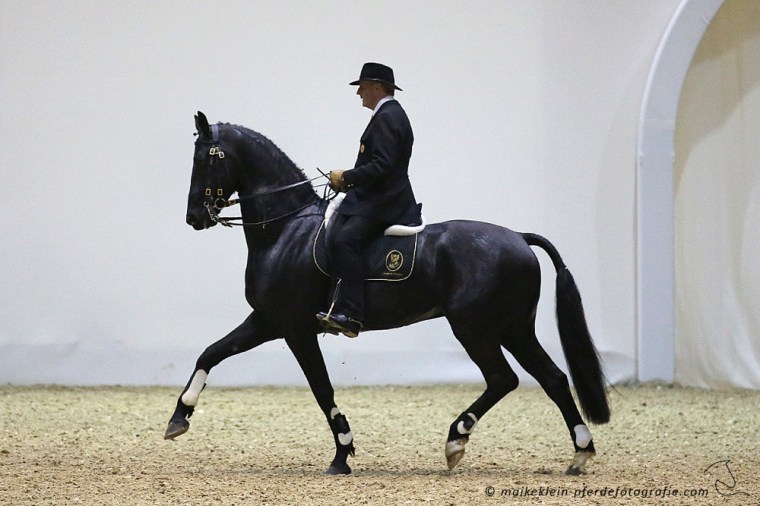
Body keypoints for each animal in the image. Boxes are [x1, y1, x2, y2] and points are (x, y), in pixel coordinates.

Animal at [165, 111, 610, 476]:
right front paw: (179, 418)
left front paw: (342, 455)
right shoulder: (267, 321)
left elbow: (321, 388)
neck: (286, 229)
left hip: (476, 329)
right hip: (514, 328)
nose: (193, 217)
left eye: (206, 158)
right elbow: (211, 353)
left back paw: (457, 439)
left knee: (504, 378)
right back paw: (579, 453)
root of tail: (519, 237)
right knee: (552, 378)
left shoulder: (295, 329)